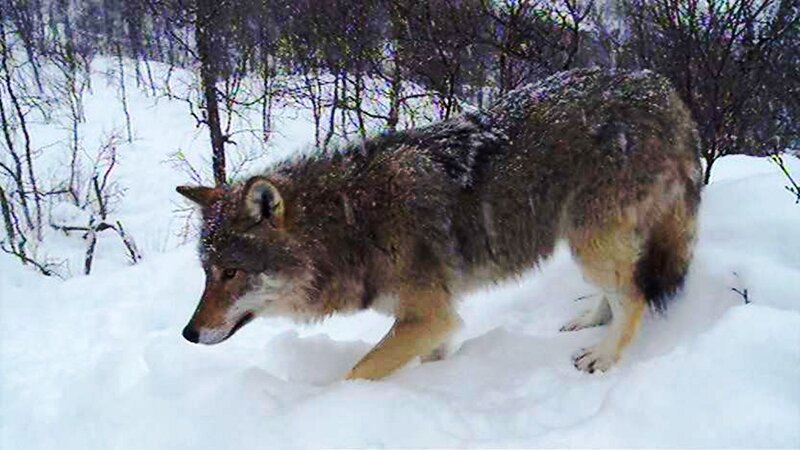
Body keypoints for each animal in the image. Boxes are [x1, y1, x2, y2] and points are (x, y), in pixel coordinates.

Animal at [178, 68, 701, 379]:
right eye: (206, 274)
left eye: (231, 273)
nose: (187, 335)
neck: (351, 221)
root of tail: (662, 88)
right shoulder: (435, 320)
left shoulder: (429, 315)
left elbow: (356, 373)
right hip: (588, 243)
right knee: (621, 286)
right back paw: (589, 321)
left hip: (589, 242)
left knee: (635, 293)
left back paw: (603, 355)